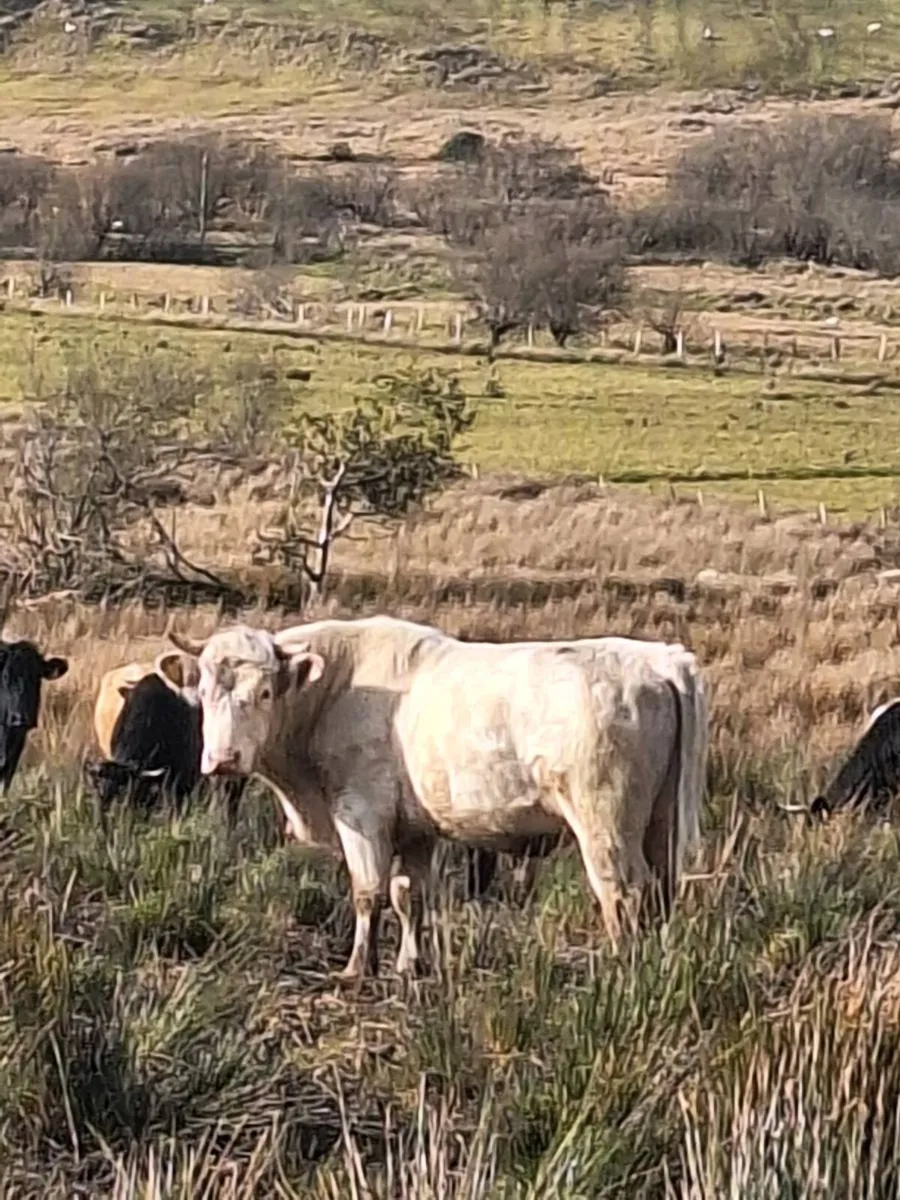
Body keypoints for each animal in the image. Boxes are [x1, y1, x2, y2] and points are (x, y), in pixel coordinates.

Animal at [162, 616, 709, 981]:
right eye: (204, 691)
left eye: (264, 694)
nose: (224, 758)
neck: (340, 690)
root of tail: (656, 658)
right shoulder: (416, 829)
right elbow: (411, 895)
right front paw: (410, 964)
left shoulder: (361, 814)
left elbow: (368, 892)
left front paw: (357, 969)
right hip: (661, 822)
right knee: (661, 892)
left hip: (605, 823)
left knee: (623, 893)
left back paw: (622, 972)